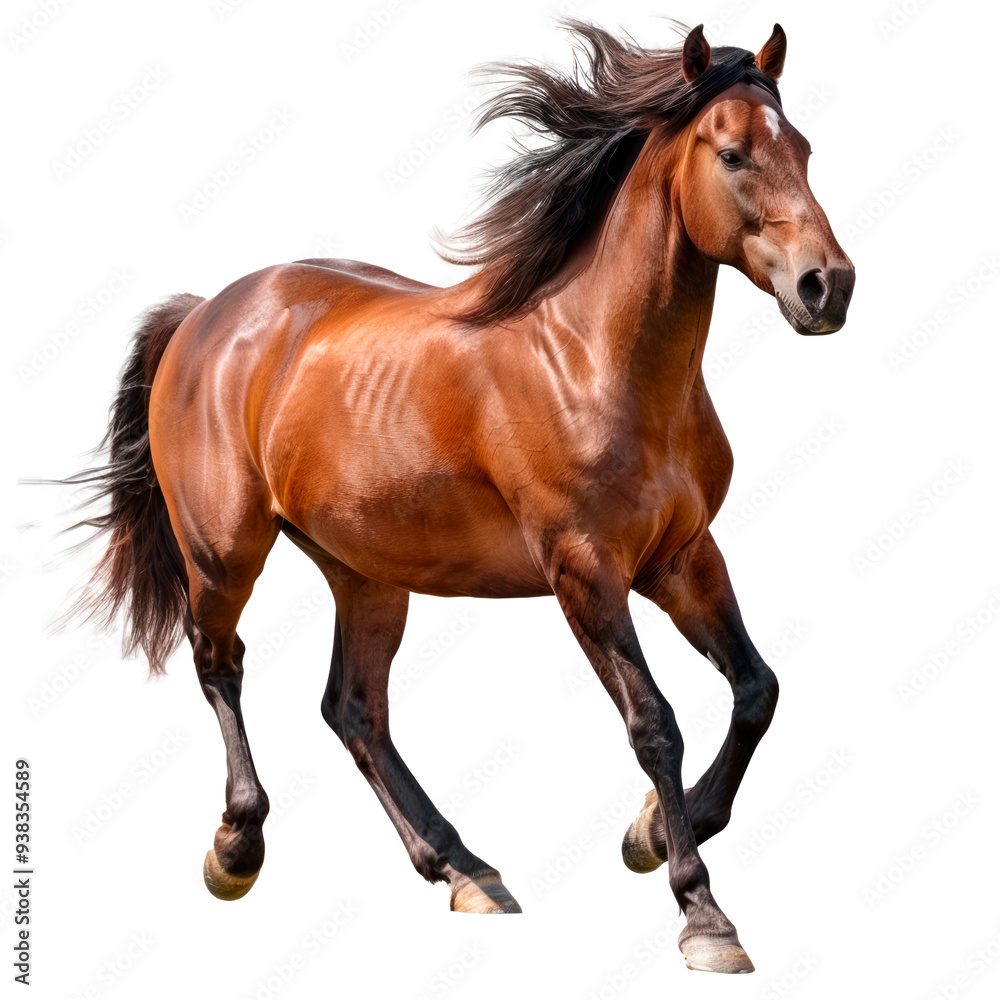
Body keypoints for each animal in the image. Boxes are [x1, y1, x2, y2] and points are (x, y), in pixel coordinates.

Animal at [63, 20, 854, 974]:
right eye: (733, 153)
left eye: (803, 148)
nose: (828, 286)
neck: (594, 360)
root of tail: (206, 314)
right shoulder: (584, 570)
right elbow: (655, 723)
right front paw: (702, 913)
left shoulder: (683, 557)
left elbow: (756, 688)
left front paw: (655, 831)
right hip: (224, 551)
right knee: (221, 664)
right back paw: (237, 848)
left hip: (367, 572)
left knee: (353, 710)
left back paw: (466, 870)